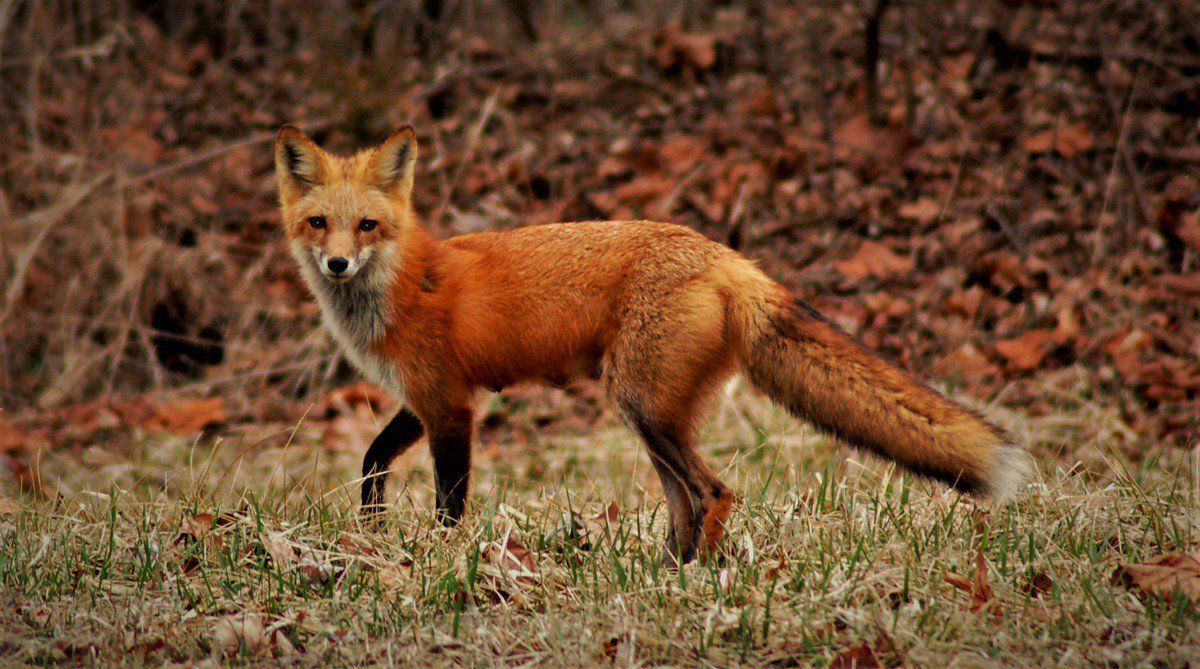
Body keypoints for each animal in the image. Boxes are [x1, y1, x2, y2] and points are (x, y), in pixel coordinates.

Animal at [274, 124, 1030, 565]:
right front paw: (371, 527)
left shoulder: (453, 406)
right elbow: (372, 459)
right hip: (653, 414)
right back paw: (665, 574)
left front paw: (438, 561)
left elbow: (448, 505)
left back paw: (694, 579)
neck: (401, 284)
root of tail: (725, 256)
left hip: (643, 406)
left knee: (714, 493)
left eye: (367, 226)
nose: (337, 264)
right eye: (318, 224)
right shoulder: (424, 399)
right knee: (683, 504)